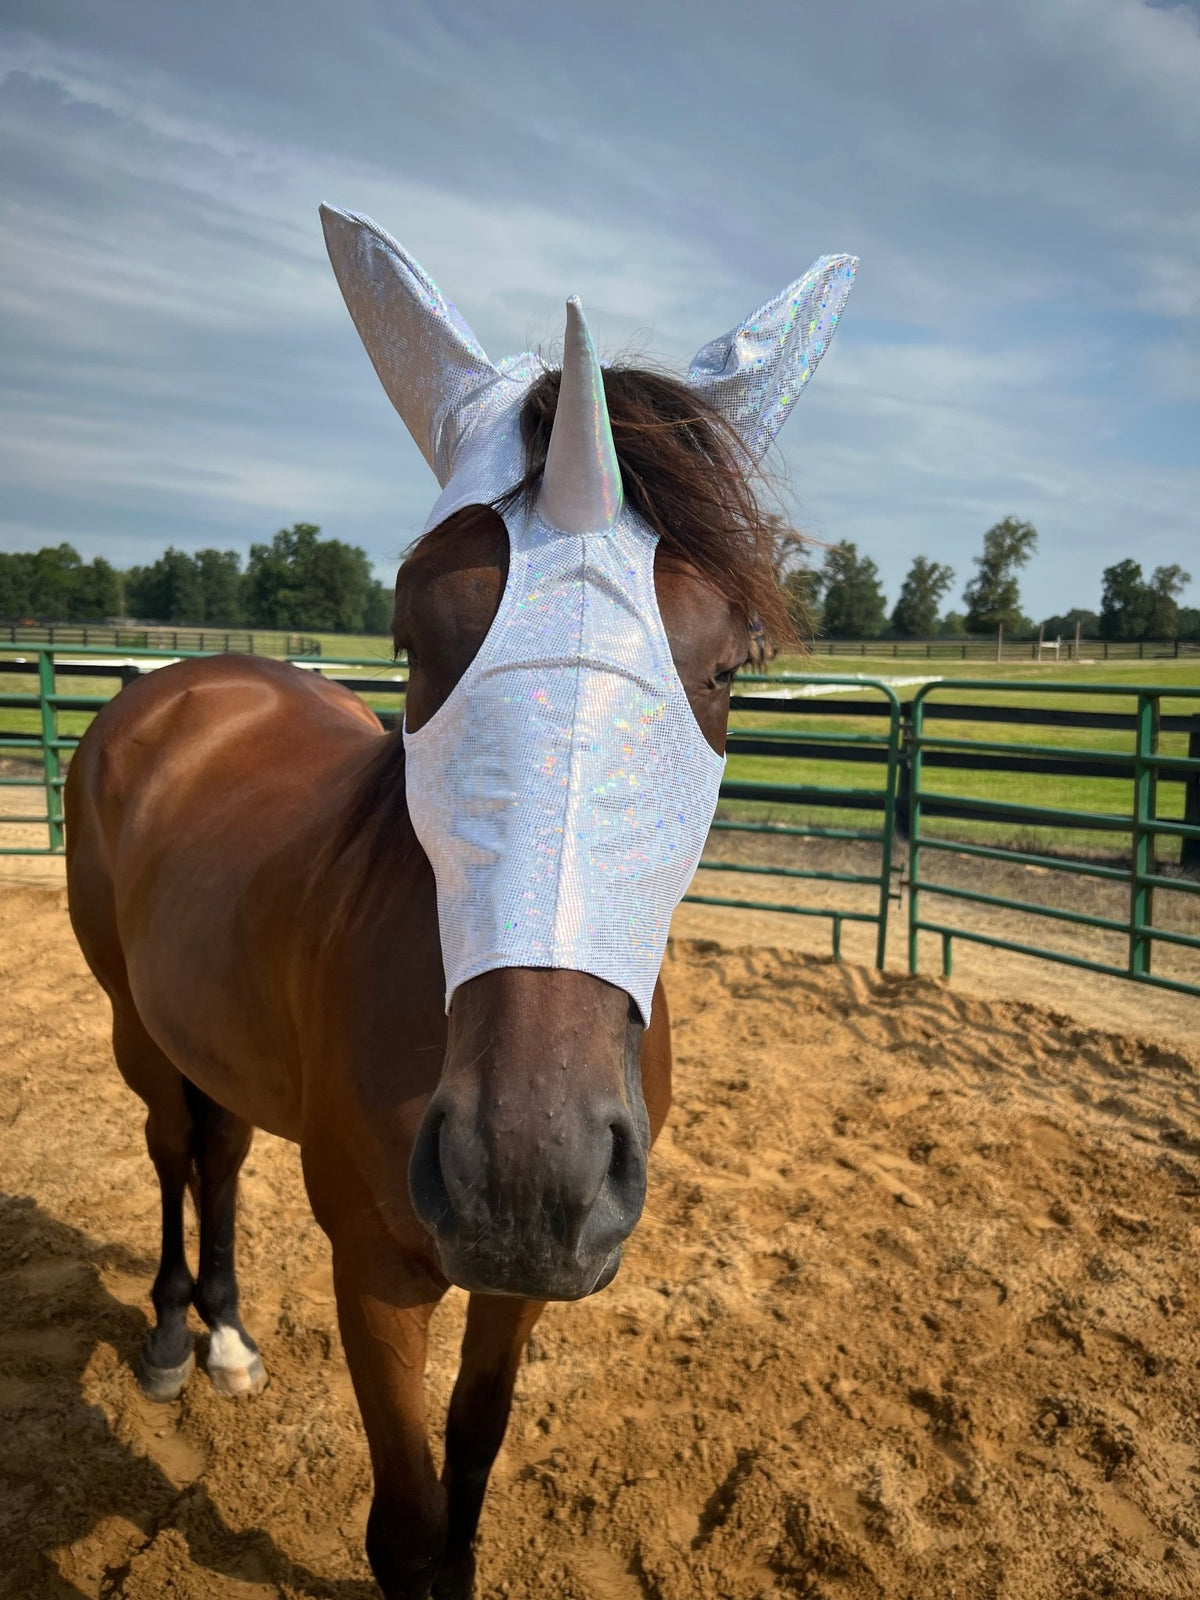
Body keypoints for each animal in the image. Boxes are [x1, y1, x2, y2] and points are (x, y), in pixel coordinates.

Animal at [64, 208, 854, 1599]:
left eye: (726, 668)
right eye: (414, 637)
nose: (523, 1176)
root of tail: (177, 685)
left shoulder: (523, 1283)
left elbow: (474, 1464)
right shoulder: (377, 1274)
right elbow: (407, 1527)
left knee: (221, 1151)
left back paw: (226, 1332)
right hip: (135, 1025)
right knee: (171, 1148)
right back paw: (170, 1338)